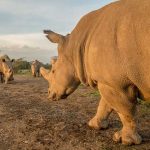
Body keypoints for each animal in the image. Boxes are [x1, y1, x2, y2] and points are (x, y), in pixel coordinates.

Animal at [42, 0, 150, 145]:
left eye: (53, 71)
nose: (49, 94)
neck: (74, 47)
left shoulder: (118, 83)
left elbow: (125, 110)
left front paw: (125, 140)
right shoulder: (108, 81)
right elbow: (105, 104)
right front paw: (94, 125)